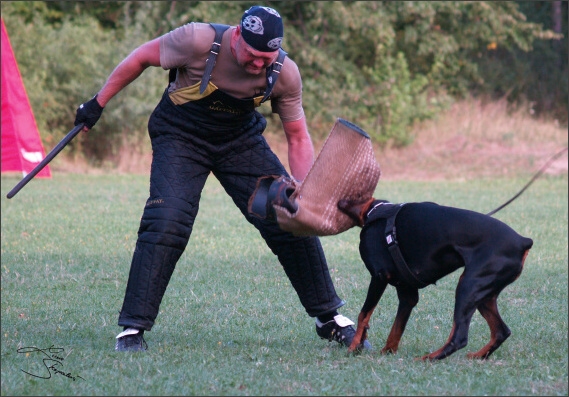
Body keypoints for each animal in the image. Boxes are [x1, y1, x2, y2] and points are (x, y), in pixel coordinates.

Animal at [338, 197, 532, 358]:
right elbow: (396, 328)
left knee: (459, 338)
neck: (377, 211)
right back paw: (477, 356)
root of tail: (523, 241)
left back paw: (427, 359)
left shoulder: (378, 277)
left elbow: (363, 314)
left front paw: (353, 347)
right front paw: (386, 352)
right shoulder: (407, 294)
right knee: (501, 331)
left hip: (468, 286)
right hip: (484, 294)